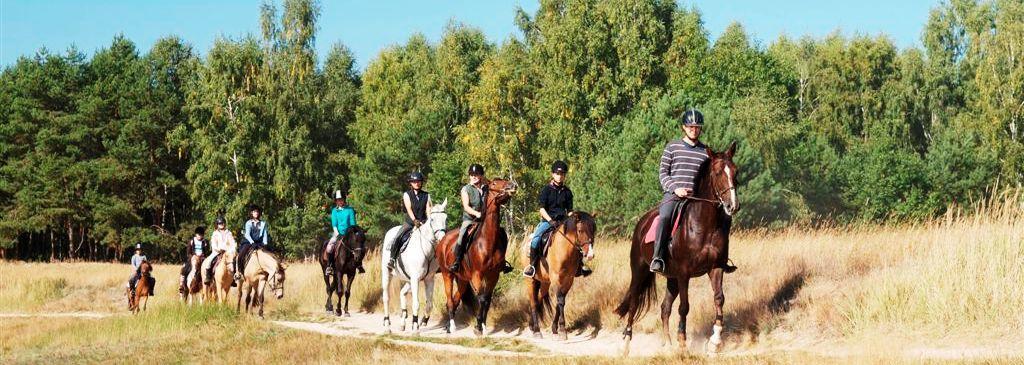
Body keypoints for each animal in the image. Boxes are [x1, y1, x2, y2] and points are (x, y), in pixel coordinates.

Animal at [380, 199, 448, 334]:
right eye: (432, 219)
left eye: (445, 218)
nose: (442, 238)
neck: (426, 251)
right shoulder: (416, 279)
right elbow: (416, 303)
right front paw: (415, 327)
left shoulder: (429, 279)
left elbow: (429, 304)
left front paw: (423, 321)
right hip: (387, 274)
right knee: (386, 298)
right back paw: (387, 325)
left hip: (408, 280)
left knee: (402, 293)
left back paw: (402, 322)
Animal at [434, 178, 516, 334]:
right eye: (494, 184)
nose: (512, 186)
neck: (486, 242)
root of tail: (443, 240)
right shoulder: (477, 275)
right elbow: (482, 299)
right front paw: (478, 326)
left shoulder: (493, 275)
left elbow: (487, 300)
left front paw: (482, 324)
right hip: (448, 274)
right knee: (449, 300)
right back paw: (452, 326)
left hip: (462, 280)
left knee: (455, 300)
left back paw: (448, 326)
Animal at [610, 141, 741, 352]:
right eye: (717, 172)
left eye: (736, 171)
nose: (733, 206)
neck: (703, 225)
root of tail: (642, 223)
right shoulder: (684, 273)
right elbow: (684, 307)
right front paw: (682, 341)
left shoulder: (715, 268)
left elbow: (719, 299)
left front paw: (715, 341)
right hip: (639, 272)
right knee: (634, 303)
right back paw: (627, 345)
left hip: (671, 277)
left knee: (665, 308)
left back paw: (668, 344)